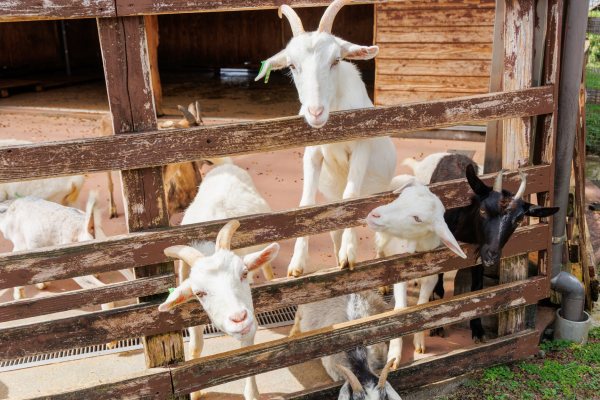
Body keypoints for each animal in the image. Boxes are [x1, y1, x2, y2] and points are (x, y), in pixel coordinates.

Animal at [159, 220, 282, 400]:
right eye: (198, 293)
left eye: (244, 273)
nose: (239, 318)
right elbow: (195, 348)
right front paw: (195, 392)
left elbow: (248, 352)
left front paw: (252, 393)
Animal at [255, 0, 396, 276]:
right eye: (291, 65)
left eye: (336, 60)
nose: (316, 112)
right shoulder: (312, 152)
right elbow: (306, 203)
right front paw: (296, 263)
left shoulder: (362, 145)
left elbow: (351, 196)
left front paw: (349, 255)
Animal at [366, 178, 468, 368]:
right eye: (401, 197)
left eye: (417, 218)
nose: (374, 214)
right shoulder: (401, 274)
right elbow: (400, 309)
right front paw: (394, 354)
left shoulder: (432, 278)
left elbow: (422, 305)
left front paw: (419, 341)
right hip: (382, 238)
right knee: (379, 252)